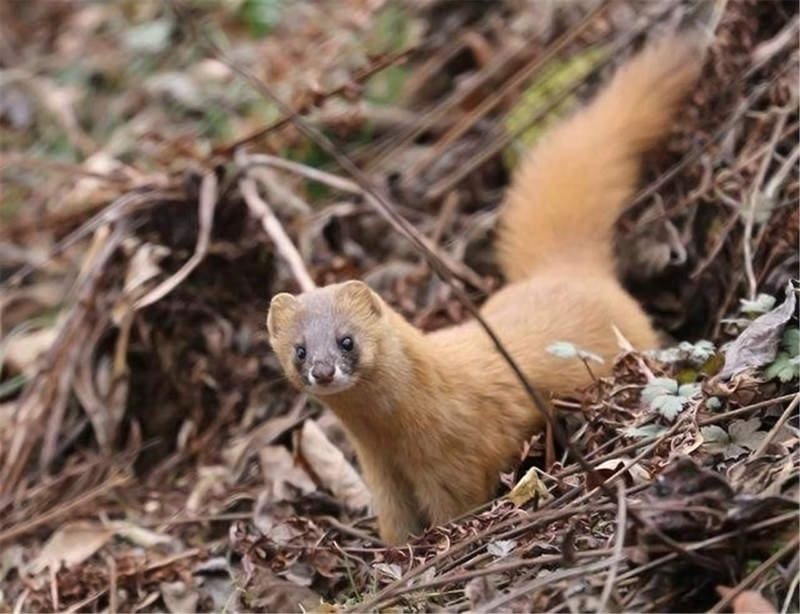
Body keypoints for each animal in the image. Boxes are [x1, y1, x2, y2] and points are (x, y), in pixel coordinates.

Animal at [268, 35, 700, 544]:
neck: (391, 439)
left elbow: (455, 509)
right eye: (298, 349)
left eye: (346, 340)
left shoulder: (453, 465)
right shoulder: (382, 478)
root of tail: (564, 268)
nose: (322, 370)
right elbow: (396, 526)